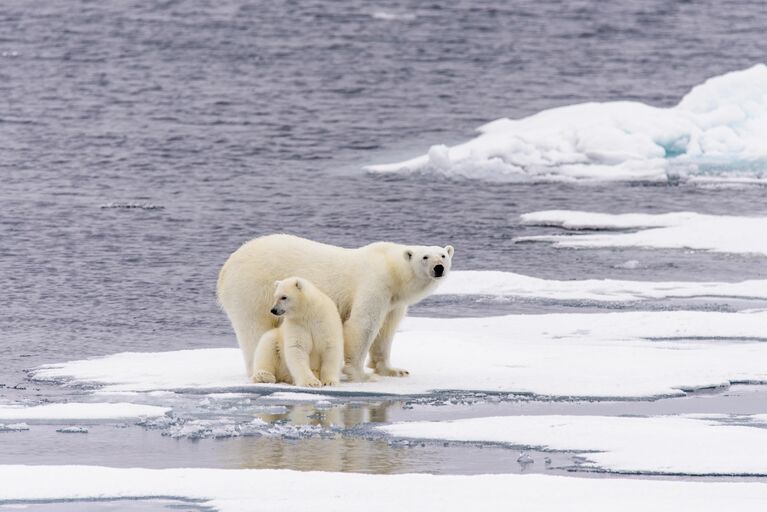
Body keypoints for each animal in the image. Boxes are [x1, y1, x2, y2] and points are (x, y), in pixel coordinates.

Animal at [218, 234, 456, 382]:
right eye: (425, 257)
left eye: (443, 255)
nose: (438, 268)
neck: (391, 268)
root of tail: (225, 268)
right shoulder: (375, 283)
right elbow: (363, 325)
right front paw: (360, 374)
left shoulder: (393, 300)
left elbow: (386, 331)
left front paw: (394, 370)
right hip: (254, 291)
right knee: (254, 329)